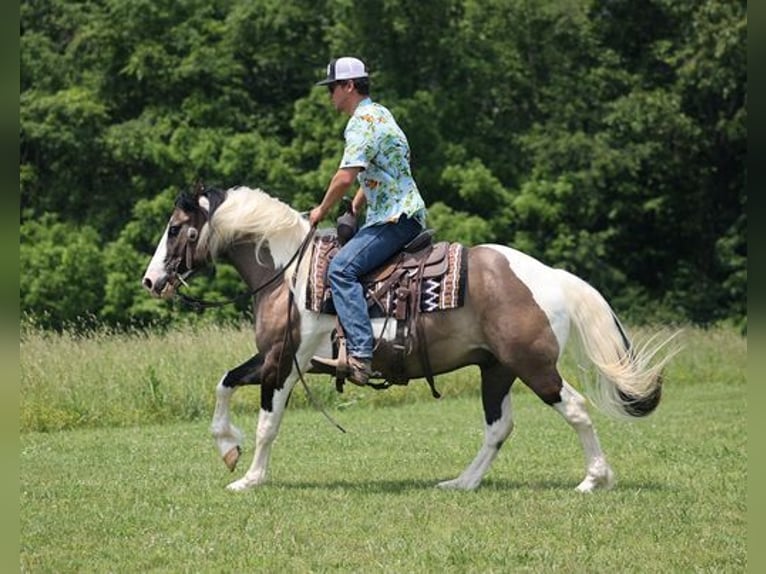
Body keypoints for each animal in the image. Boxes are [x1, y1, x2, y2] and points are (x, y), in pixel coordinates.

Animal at [142, 184, 680, 496]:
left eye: (175, 228)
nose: (150, 281)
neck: (287, 272)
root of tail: (551, 276)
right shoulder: (274, 357)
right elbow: (224, 382)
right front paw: (227, 449)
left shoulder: (284, 360)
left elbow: (266, 424)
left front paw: (250, 478)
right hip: (497, 369)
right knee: (498, 428)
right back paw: (461, 482)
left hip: (534, 366)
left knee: (575, 409)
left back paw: (594, 479)